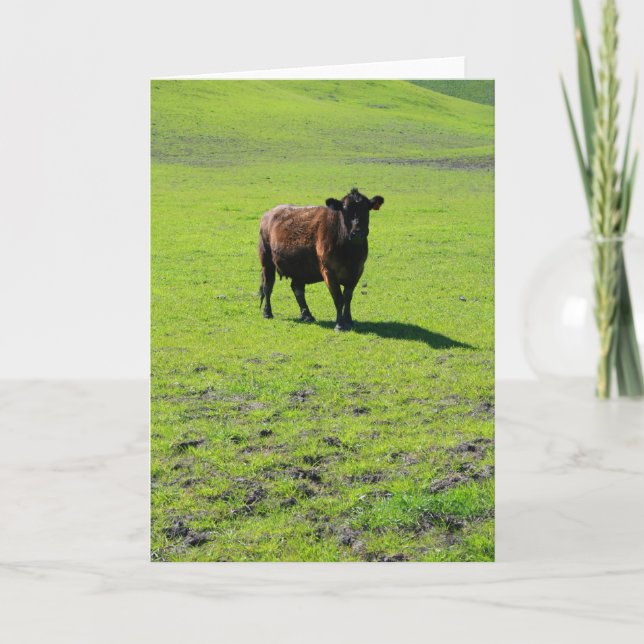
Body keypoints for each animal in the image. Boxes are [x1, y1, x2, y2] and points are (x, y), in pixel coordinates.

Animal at [258, 188, 384, 331]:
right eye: (345, 210)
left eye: (366, 209)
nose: (357, 233)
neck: (349, 252)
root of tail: (269, 213)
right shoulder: (328, 271)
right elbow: (338, 298)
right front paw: (340, 324)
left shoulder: (357, 270)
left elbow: (347, 297)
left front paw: (349, 321)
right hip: (266, 261)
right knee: (268, 286)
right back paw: (267, 312)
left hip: (299, 268)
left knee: (297, 289)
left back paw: (307, 315)